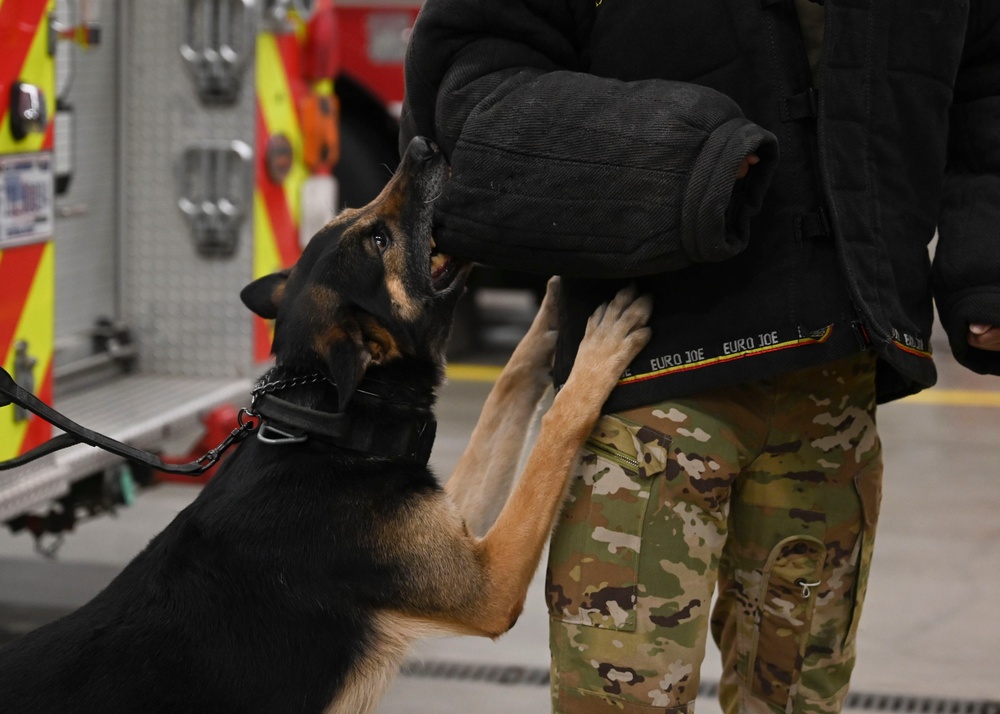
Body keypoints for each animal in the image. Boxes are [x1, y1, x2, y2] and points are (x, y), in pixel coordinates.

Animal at [0, 138, 648, 712]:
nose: (421, 143)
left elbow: (508, 389)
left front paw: (550, 315)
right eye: (380, 238)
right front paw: (594, 357)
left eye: (354, 213)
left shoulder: (456, 528)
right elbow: (554, 434)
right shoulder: (490, 584)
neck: (324, 427)